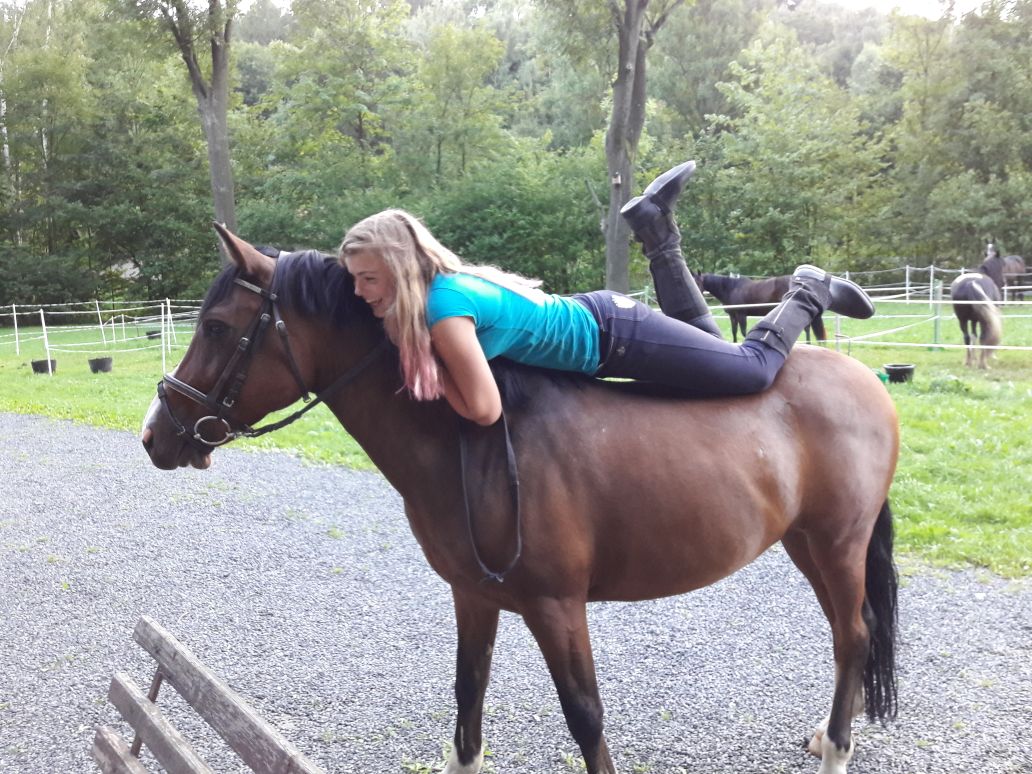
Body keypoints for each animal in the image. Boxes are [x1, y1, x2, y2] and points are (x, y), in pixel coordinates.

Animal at [695, 273, 827, 343]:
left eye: (697, 283)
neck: (731, 289)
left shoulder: (741, 315)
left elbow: (743, 332)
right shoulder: (733, 316)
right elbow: (734, 332)